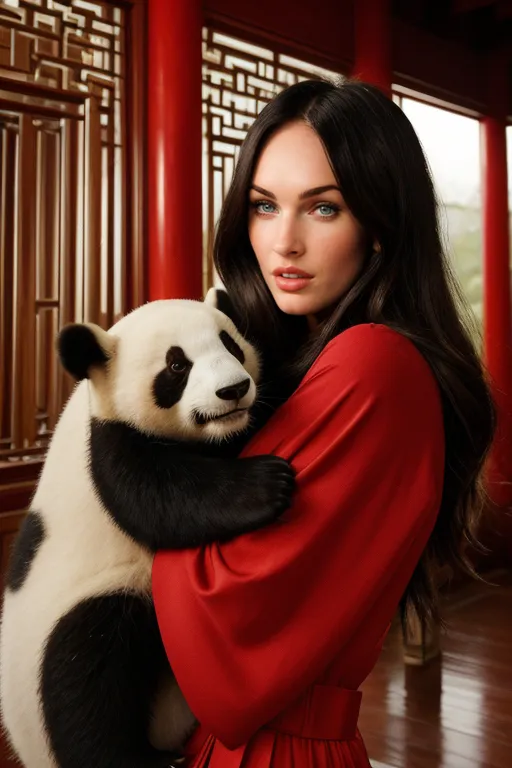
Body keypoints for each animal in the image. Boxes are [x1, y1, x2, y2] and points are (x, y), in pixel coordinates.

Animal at [0, 290, 294, 768]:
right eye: (176, 365)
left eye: (230, 344)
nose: (233, 391)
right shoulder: (108, 445)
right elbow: (158, 497)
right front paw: (268, 483)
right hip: (90, 603)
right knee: (85, 671)